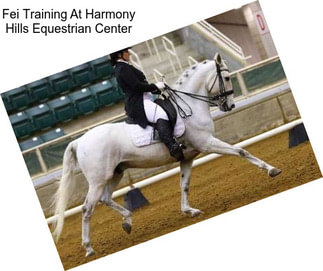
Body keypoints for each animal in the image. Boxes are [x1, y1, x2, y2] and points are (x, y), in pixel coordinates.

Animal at [52, 54, 282, 258]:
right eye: (225, 78)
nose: (230, 106)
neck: (191, 106)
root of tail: (79, 141)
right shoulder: (207, 143)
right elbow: (241, 151)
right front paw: (272, 170)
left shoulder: (187, 157)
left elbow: (184, 184)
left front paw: (189, 210)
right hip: (99, 179)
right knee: (87, 209)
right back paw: (89, 248)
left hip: (115, 173)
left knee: (105, 199)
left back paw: (127, 221)